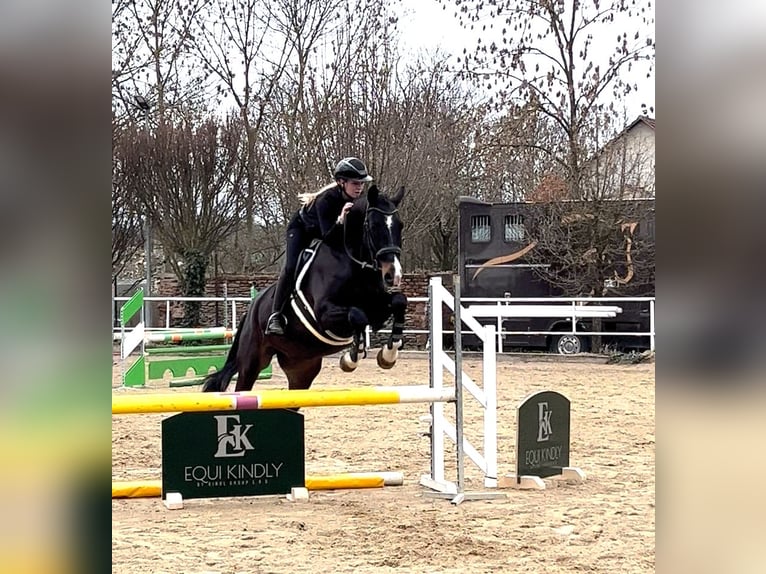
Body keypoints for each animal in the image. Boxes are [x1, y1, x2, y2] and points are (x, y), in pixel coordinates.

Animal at [201, 184, 407, 393]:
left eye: (400, 226)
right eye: (373, 226)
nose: (394, 275)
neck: (353, 263)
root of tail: (253, 306)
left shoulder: (377, 310)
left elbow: (399, 302)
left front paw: (388, 354)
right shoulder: (324, 315)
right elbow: (357, 315)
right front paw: (350, 359)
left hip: (301, 368)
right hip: (252, 361)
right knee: (243, 386)